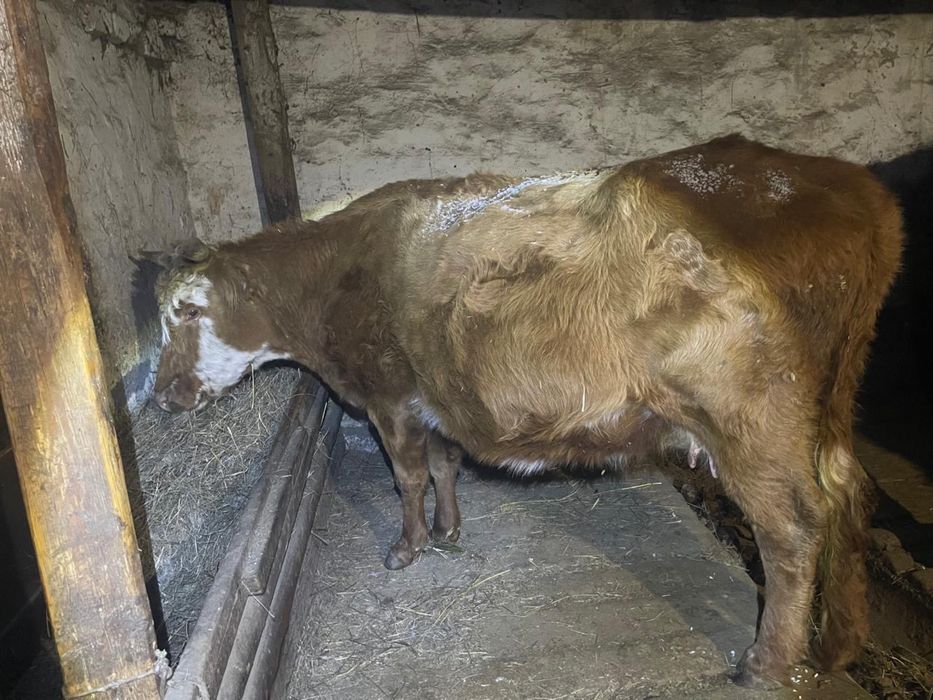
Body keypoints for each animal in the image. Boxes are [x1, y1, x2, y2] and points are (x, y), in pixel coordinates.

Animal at [144, 135, 902, 687]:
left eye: (188, 310)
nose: (162, 395)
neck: (336, 270)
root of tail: (851, 190)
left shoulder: (388, 396)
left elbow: (408, 477)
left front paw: (406, 547)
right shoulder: (433, 397)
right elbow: (444, 467)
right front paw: (448, 532)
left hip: (749, 417)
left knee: (792, 530)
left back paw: (766, 663)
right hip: (829, 401)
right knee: (848, 495)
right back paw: (837, 644)